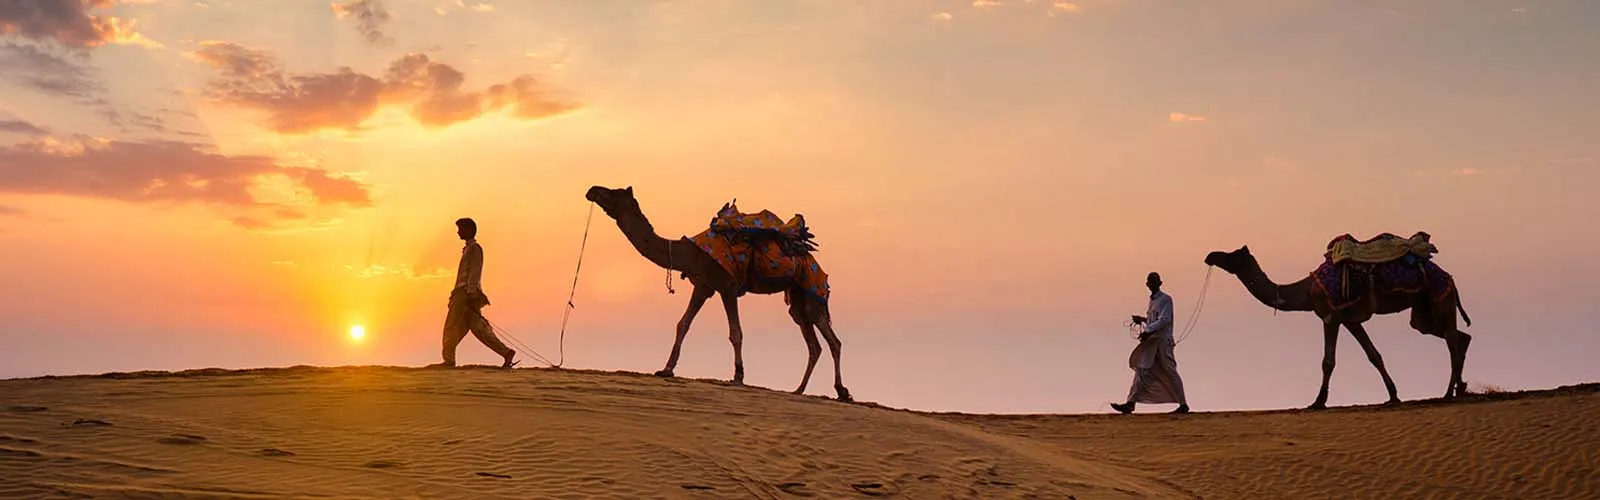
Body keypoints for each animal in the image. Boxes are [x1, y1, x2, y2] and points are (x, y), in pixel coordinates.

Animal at [584, 186, 852, 402]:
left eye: (614, 193)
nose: (592, 190)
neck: (689, 253)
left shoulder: (727, 286)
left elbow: (736, 332)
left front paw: (738, 376)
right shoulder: (703, 286)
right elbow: (683, 324)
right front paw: (666, 370)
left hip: (812, 291)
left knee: (833, 341)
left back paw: (842, 391)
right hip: (796, 298)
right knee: (813, 343)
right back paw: (799, 390)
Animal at [1203, 245, 1473, 409]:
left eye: (1231, 255)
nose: (1210, 255)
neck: (1306, 291)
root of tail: (1450, 278)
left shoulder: (1330, 316)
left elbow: (1328, 361)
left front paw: (1318, 402)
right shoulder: (1351, 320)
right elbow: (1374, 355)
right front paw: (1393, 396)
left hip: (1440, 298)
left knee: (1452, 339)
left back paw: (1448, 393)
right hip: (1422, 312)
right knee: (1460, 336)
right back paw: (1460, 388)